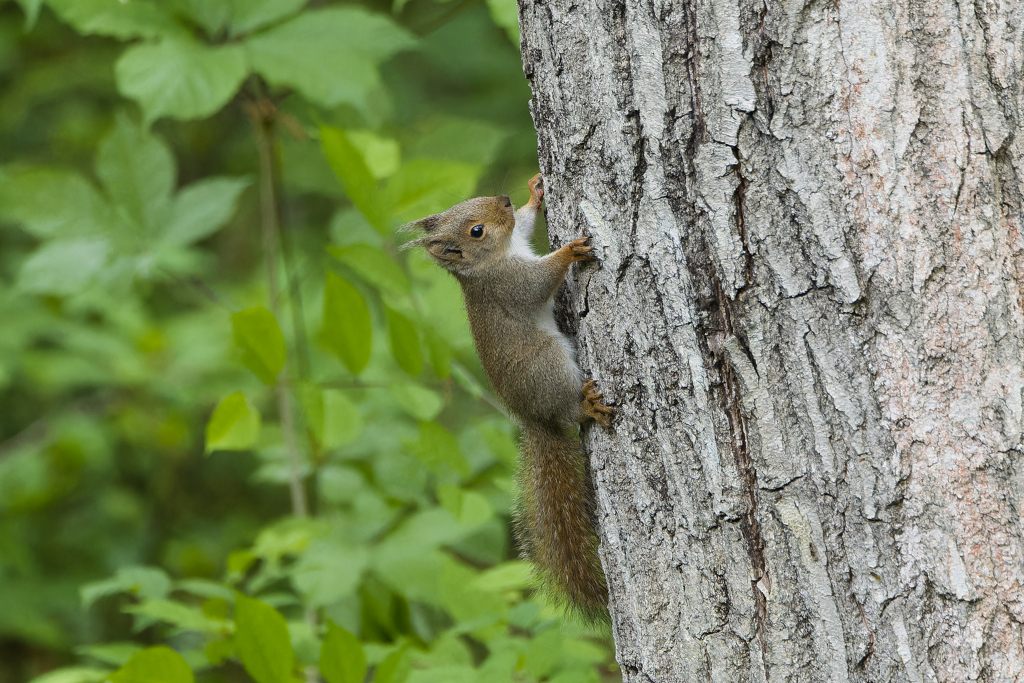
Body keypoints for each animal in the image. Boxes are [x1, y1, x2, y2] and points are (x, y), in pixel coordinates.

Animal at [403, 172, 610, 618]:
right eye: (476, 231)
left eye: (473, 204)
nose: (503, 199)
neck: (495, 257)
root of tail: (533, 417)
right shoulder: (509, 284)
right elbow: (537, 284)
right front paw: (568, 251)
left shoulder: (519, 240)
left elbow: (527, 225)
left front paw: (534, 195)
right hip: (548, 364)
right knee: (570, 408)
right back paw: (586, 405)